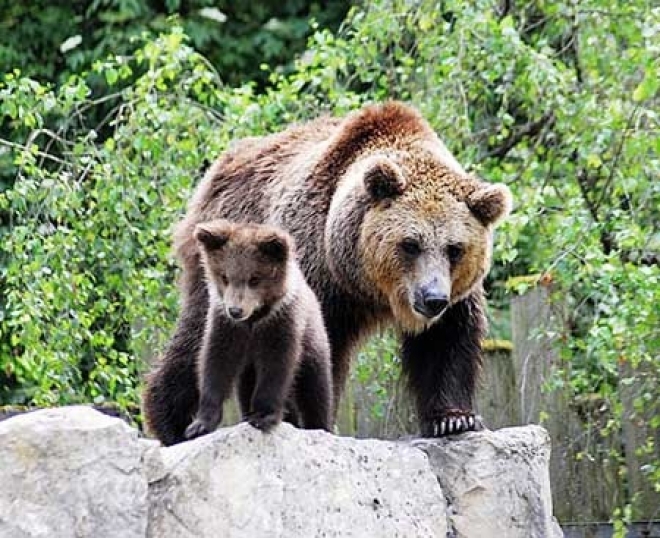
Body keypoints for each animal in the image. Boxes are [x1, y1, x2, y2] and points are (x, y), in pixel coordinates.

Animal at [144, 100, 512, 444]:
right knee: (199, 334)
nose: (432, 298)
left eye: (455, 248)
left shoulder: (456, 298)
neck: (365, 287)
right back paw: (171, 421)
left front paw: (454, 419)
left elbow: (447, 342)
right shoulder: (315, 273)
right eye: (410, 244)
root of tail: (220, 166)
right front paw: (301, 418)